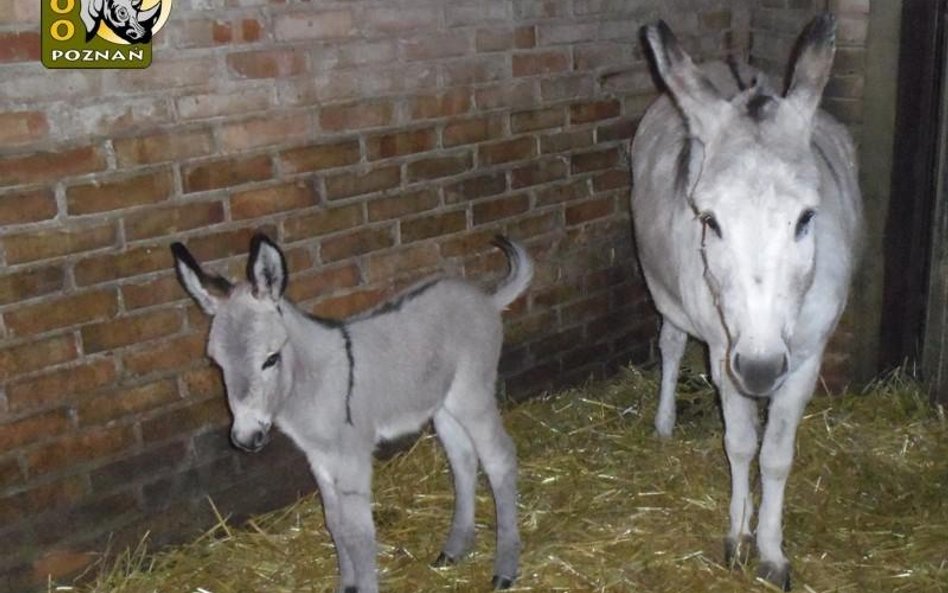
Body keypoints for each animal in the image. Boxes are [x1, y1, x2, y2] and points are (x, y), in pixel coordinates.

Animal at [168, 234, 524, 588]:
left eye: (271, 359)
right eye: (217, 364)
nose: (245, 437)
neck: (309, 383)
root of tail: (485, 298)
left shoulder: (353, 457)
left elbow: (359, 535)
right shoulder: (319, 458)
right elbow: (335, 524)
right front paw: (346, 584)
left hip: (472, 395)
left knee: (500, 459)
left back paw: (505, 569)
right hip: (443, 405)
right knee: (463, 461)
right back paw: (454, 549)